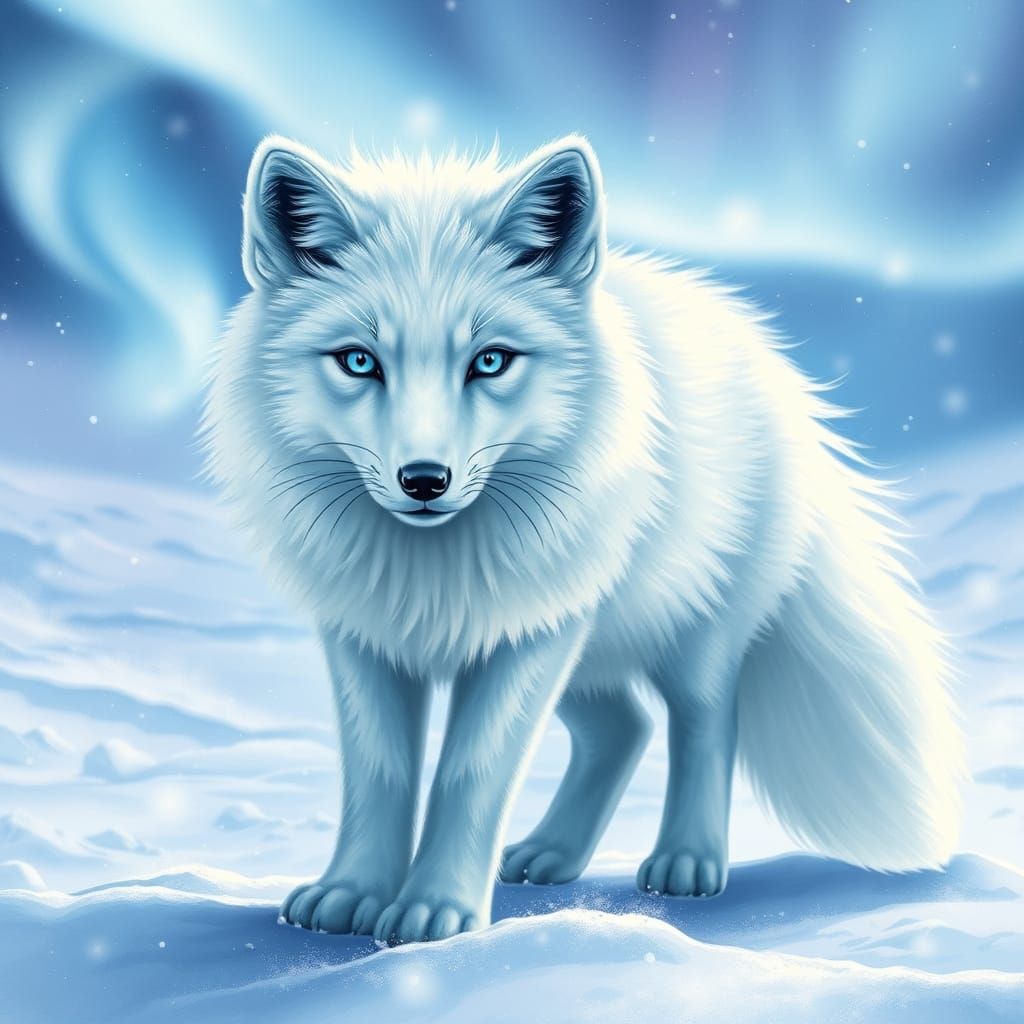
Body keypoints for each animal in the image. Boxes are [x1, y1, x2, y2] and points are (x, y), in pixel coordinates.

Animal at [202, 133, 963, 946]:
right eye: (358, 361)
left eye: (490, 361)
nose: (424, 481)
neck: (430, 574)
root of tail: (769, 362)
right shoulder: (364, 638)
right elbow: (380, 773)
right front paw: (353, 891)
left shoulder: (527, 636)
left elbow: (470, 774)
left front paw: (438, 908)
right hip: (586, 649)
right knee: (623, 728)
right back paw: (552, 852)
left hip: (675, 636)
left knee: (703, 724)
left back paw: (689, 859)